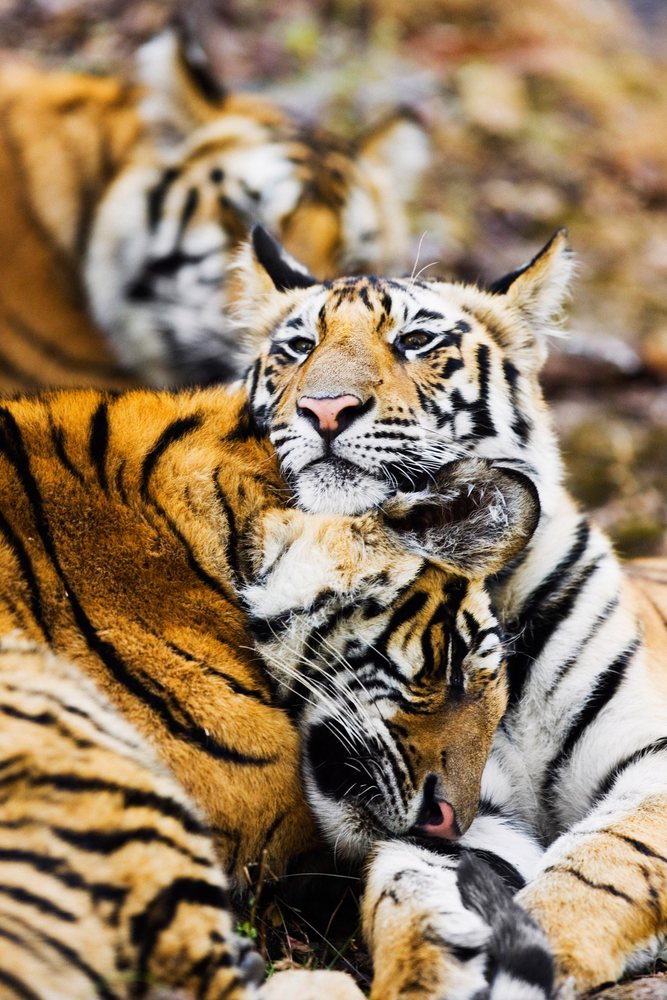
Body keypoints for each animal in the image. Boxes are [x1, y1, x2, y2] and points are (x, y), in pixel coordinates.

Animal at [230, 224, 667, 999]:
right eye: (297, 347)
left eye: (415, 341)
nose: (325, 408)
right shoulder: (457, 803)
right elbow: (409, 884)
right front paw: (426, 971)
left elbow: (599, 868)